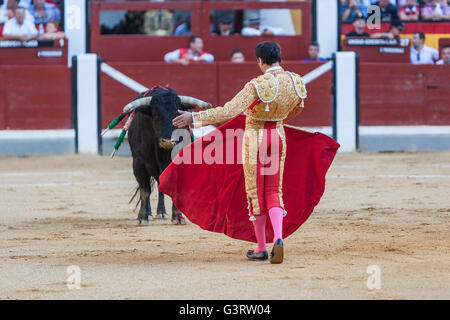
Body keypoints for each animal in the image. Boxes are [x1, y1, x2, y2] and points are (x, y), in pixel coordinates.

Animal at [127, 85, 196, 225]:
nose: (169, 141)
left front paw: (178, 217)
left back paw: (161, 212)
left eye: (178, 116)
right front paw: (142, 217)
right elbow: (145, 191)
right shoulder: (138, 163)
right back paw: (149, 214)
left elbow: (176, 189)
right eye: (156, 115)